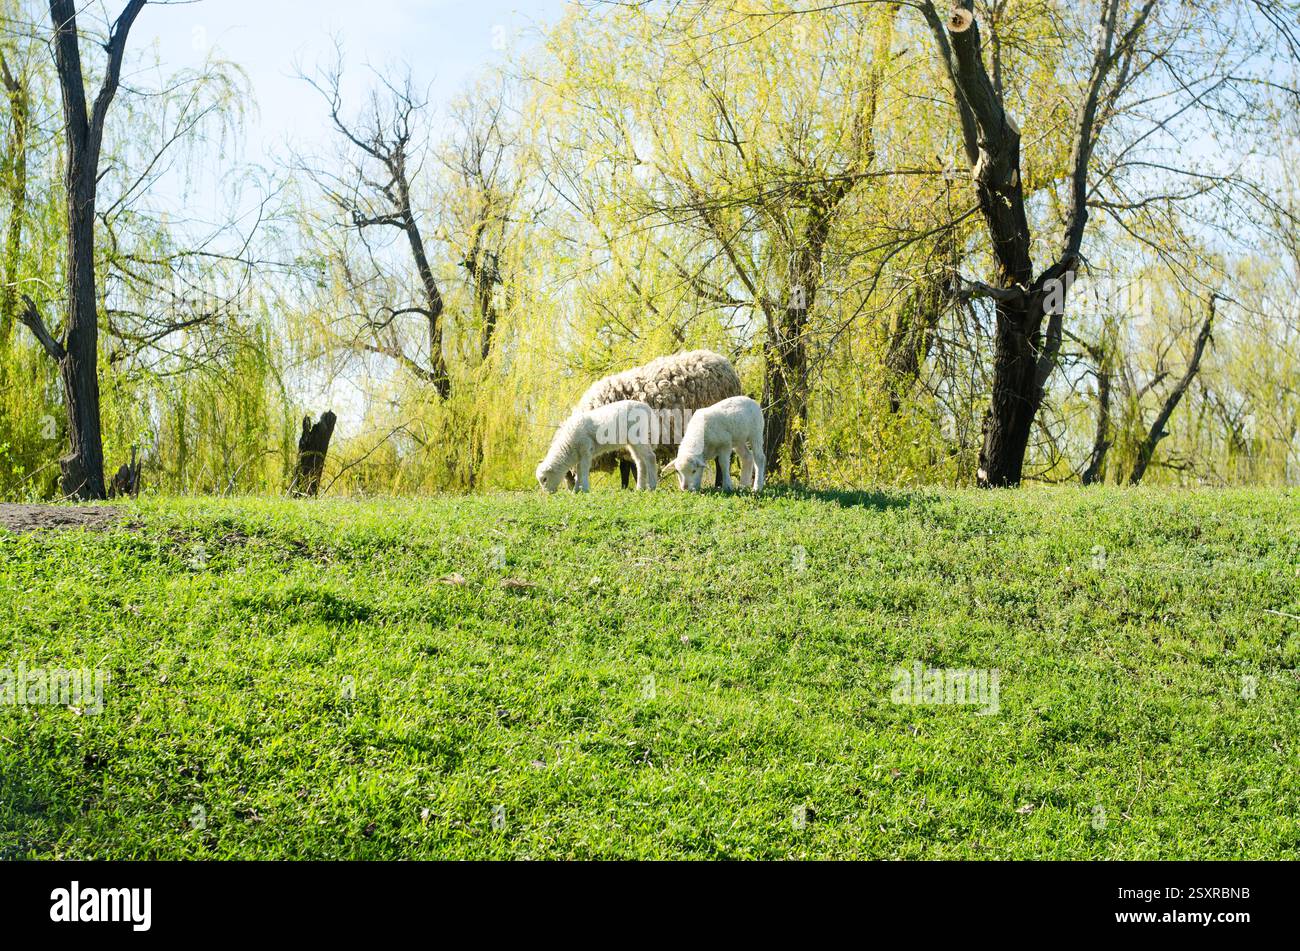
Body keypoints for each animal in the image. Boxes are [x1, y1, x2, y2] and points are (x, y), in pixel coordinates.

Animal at [572, 349, 742, 489]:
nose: (571, 489)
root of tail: (726, 364)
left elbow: (628, 468)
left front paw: (631, 486)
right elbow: (630, 467)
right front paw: (631, 486)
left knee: (722, 461)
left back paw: (718, 484)